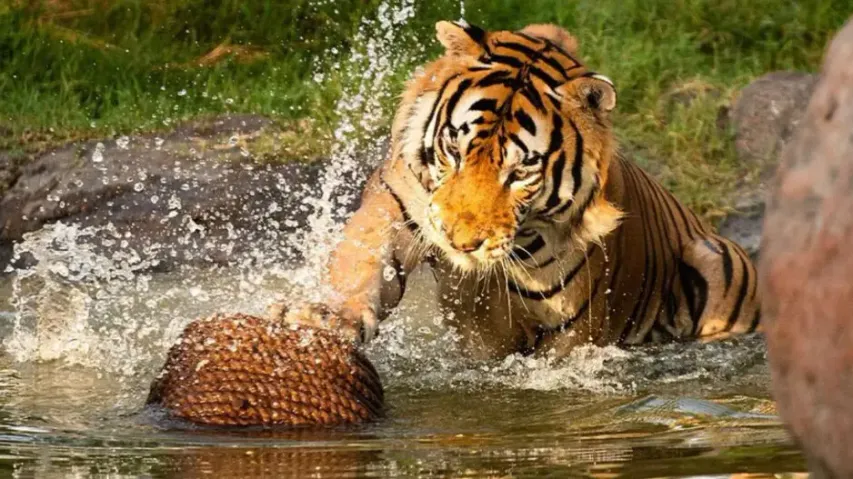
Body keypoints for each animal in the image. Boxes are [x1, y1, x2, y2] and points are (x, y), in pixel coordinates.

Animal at [270, 21, 761, 360]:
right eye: (455, 148)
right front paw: (324, 317)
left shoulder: (570, 333)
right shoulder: (399, 206)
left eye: (521, 171)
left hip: (718, 261)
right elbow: (364, 265)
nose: (459, 242)